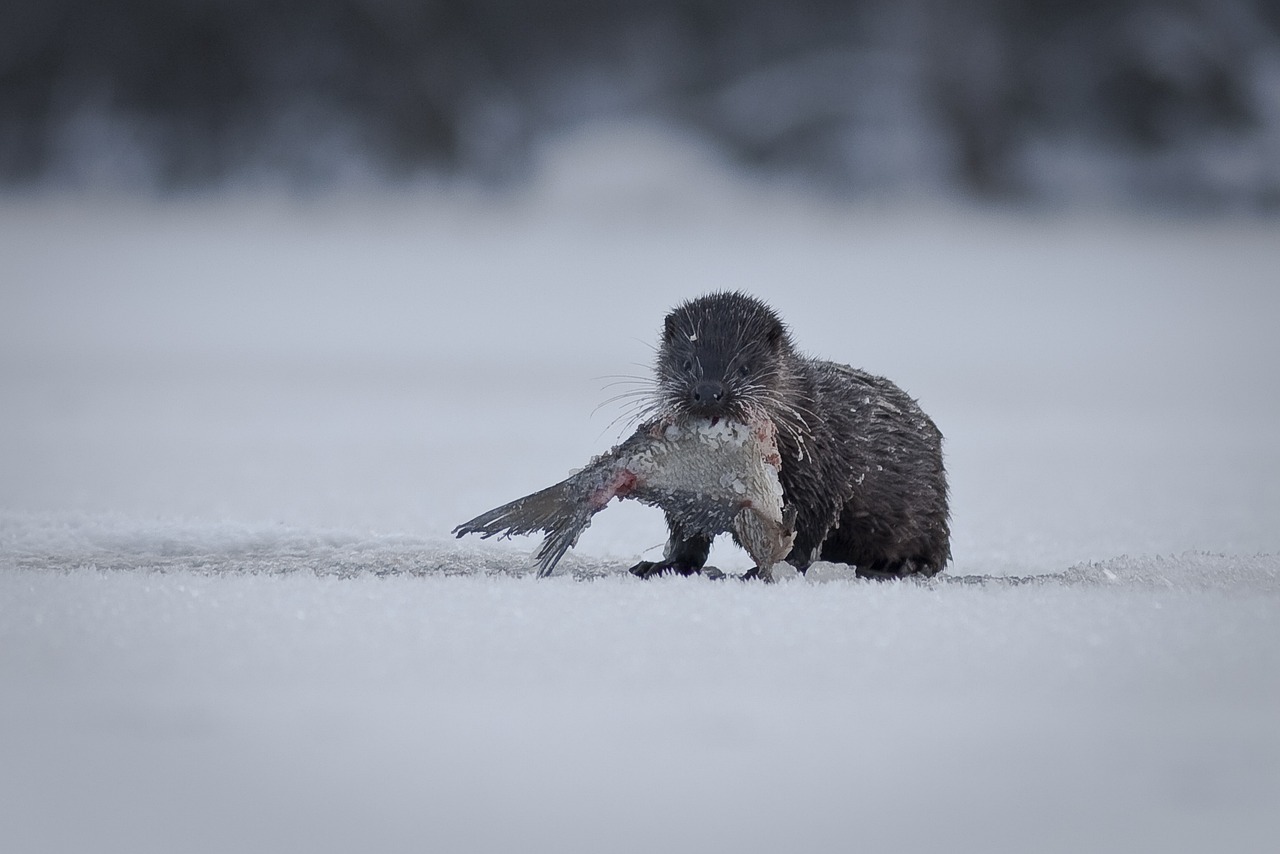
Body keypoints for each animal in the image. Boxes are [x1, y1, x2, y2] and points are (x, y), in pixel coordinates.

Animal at [629, 291, 952, 581]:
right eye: (686, 363)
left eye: (745, 367)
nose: (708, 391)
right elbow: (687, 533)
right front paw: (662, 564)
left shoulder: (817, 472)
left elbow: (807, 529)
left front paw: (770, 569)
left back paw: (903, 565)